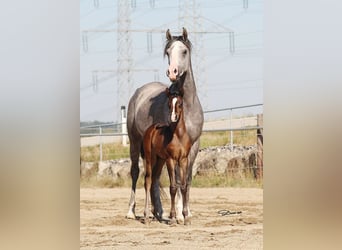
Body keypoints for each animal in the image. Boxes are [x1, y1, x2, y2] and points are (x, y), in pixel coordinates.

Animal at [141, 87, 191, 225]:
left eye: (180, 104)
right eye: (169, 104)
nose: (173, 118)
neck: (178, 136)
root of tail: (150, 129)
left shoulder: (183, 160)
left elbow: (183, 187)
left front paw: (186, 217)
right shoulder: (171, 160)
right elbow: (173, 187)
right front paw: (173, 218)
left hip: (160, 160)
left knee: (154, 180)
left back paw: (156, 215)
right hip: (150, 159)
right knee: (148, 181)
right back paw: (146, 216)